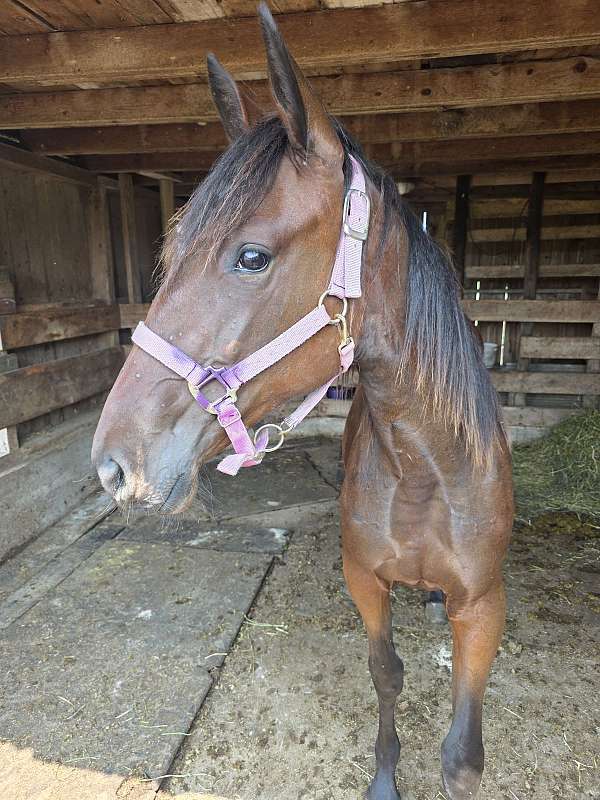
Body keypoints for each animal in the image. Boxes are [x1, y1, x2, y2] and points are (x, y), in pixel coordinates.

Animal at [92, 6, 513, 798]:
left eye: (251, 256)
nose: (110, 466)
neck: (426, 470)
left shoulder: (485, 608)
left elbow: (463, 755)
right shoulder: (364, 582)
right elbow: (387, 675)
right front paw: (385, 779)